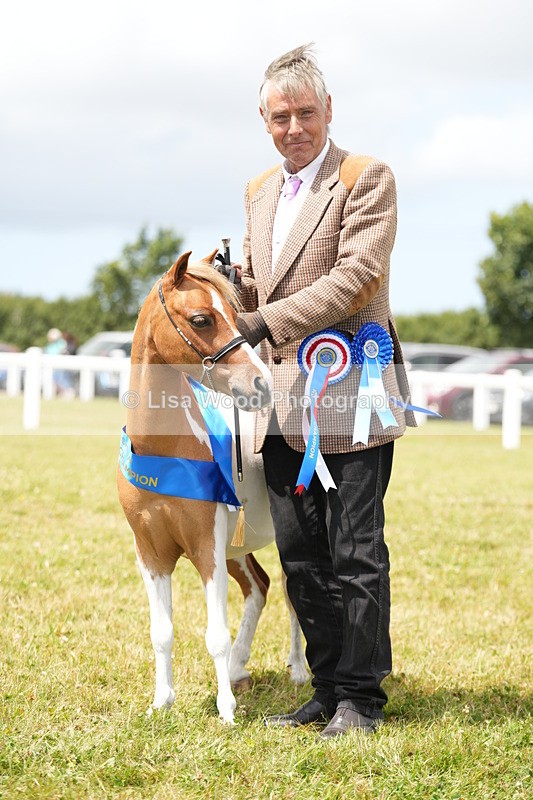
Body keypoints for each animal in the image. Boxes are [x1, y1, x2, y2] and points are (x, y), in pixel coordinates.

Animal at [117, 250, 308, 723]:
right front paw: (161, 701)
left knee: (293, 593)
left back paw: (297, 670)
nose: (260, 385)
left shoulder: (207, 547)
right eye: (202, 319)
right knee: (260, 588)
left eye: (236, 318)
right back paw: (240, 667)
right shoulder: (151, 554)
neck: (165, 451)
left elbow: (215, 634)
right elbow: (162, 631)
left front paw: (226, 712)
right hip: (237, 549)